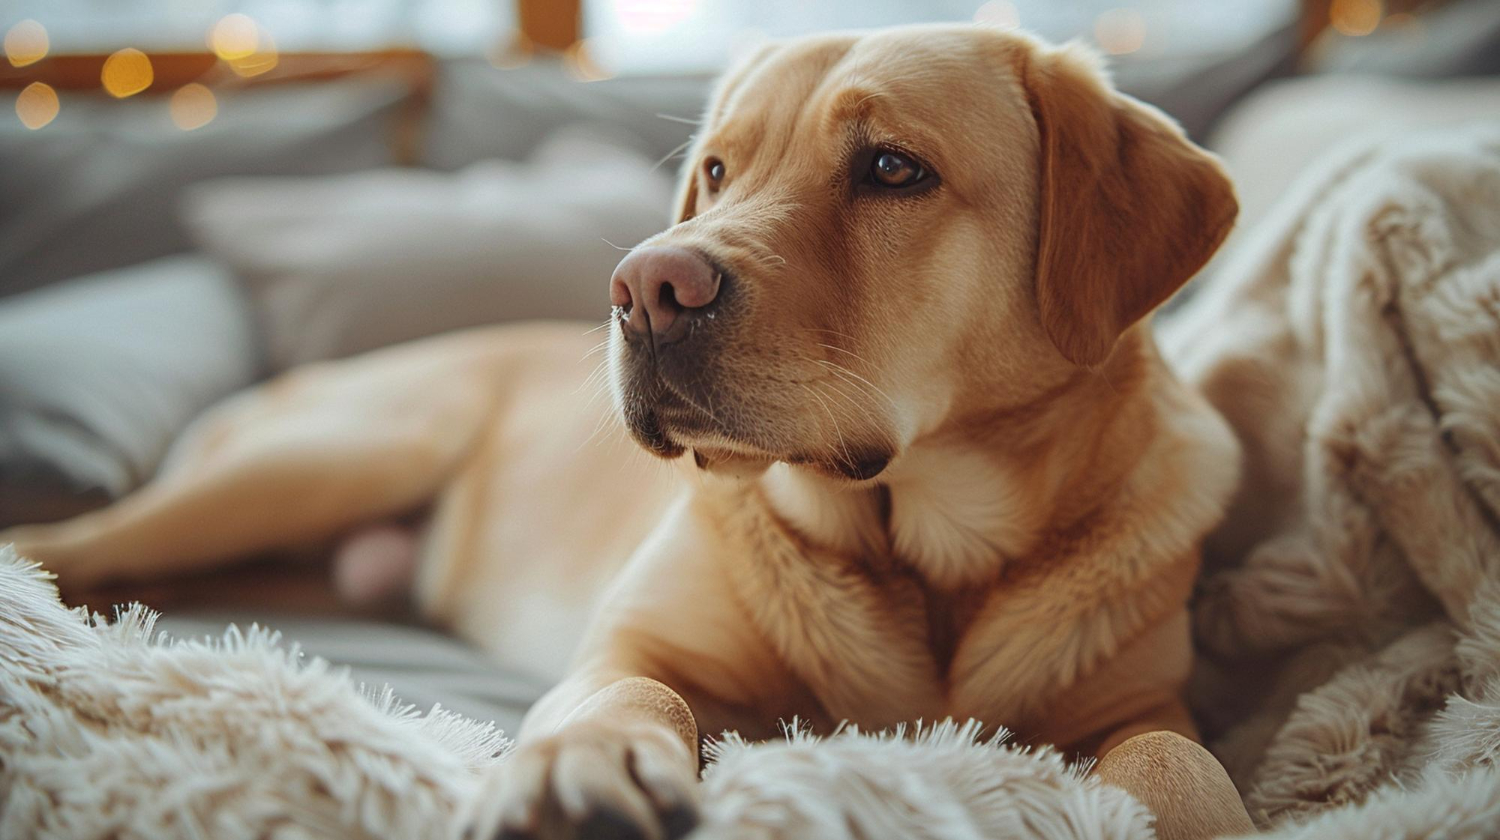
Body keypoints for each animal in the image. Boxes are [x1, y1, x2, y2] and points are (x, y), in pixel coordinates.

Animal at [5, 22, 1254, 834]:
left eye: (894, 168)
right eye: (716, 171)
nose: (645, 287)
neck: (923, 555)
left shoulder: (1147, 701)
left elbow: (1178, 759)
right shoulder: (632, 646)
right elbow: (633, 693)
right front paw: (582, 766)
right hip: (333, 457)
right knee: (82, 542)